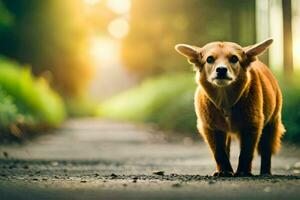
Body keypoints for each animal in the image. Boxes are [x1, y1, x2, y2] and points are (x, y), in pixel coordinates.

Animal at [176, 39, 286, 177]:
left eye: (234, 58)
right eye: (209, 59)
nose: (221, 70)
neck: (225, 100)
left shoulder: (252, 125)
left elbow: (246, 152)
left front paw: (243, 171)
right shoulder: (211, 127)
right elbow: (219, 152)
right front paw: (224, 170)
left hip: (271, 124)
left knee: (266, 150)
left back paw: (265, 172)